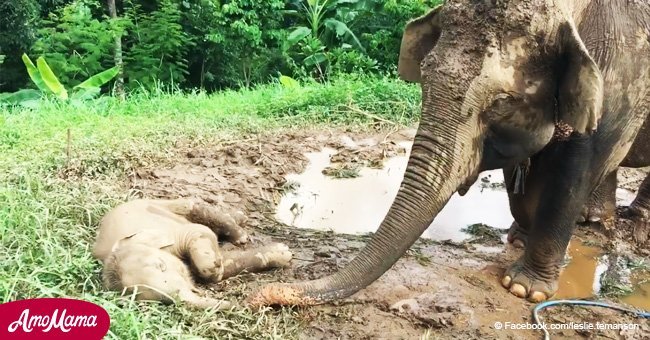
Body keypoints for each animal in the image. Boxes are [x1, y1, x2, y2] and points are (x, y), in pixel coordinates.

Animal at [92, 198, 292, 310]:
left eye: (161, 265)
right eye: (163, 300)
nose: (237, 306)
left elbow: (200, 231)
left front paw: (285, 252)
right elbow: (227, 263)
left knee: (194, 206)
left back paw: (241, 230)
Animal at [248, 0, 648, 308]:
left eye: (502, 102)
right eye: (424, 75)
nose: (263, 294)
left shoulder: (620, 74)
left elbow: (574, 169)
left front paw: (524, 289)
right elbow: (520, 174)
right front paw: (519, 237)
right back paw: (593, 220)